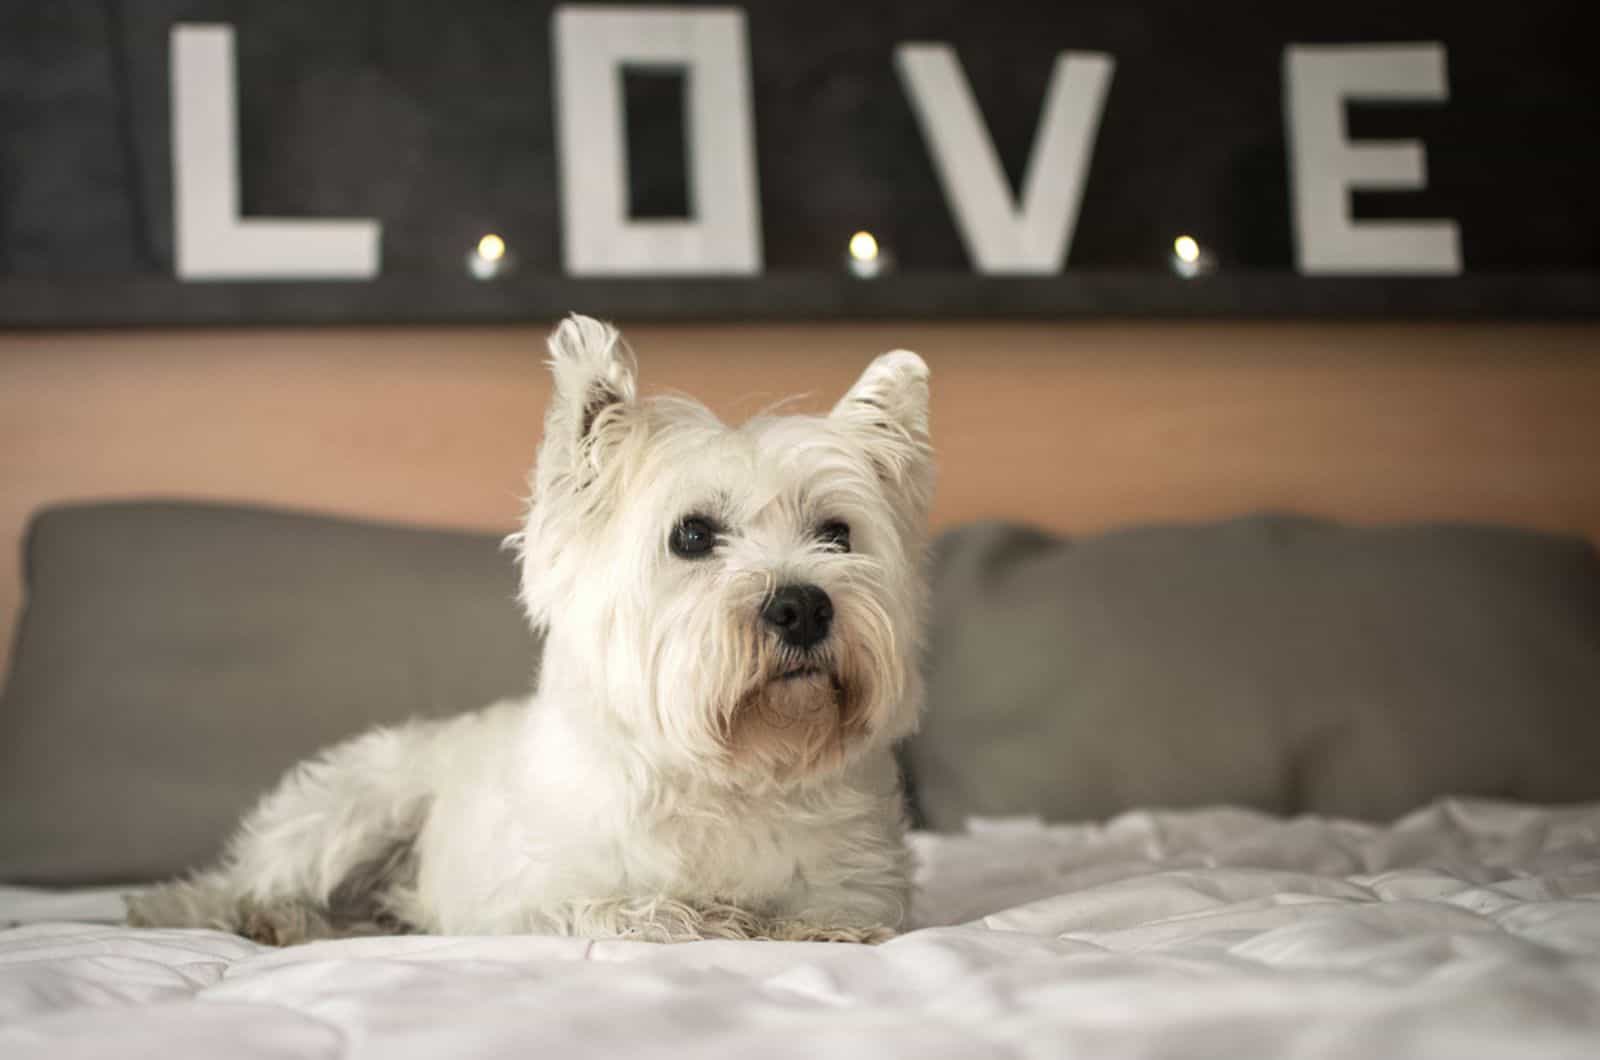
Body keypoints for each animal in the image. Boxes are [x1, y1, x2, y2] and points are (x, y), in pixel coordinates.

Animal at [137, 315, 940, 947]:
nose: (803, 606)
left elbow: (834, 914)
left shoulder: (863, 883)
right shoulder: (528, 899)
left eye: (836, 534)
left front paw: (809, 927)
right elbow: (634, 909)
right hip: (352, 805)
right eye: (691, 535)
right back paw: (235, 912)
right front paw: (713, 917)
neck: (735, 773)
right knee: (243, 879)